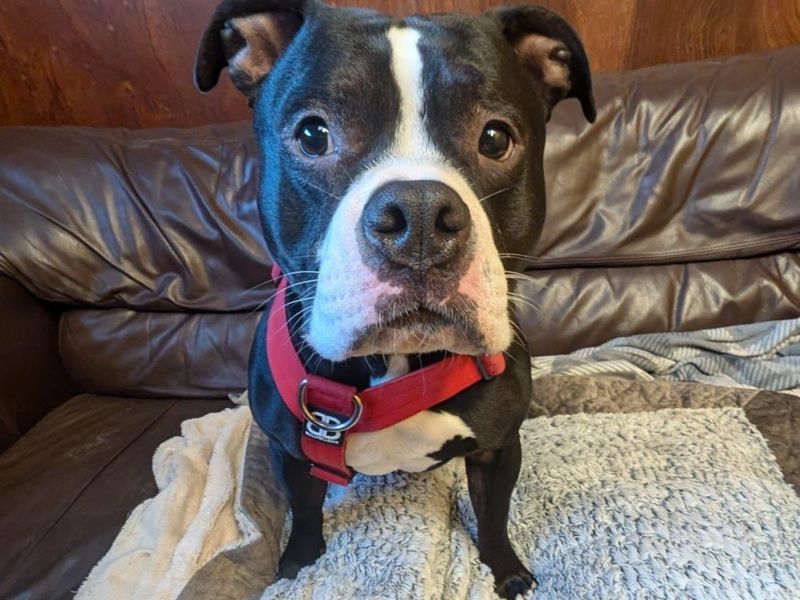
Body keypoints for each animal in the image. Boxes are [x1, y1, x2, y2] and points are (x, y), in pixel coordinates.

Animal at [194, 1, 592, 596]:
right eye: (313, 134)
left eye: (495, 138)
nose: (422, 216)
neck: (398, 365)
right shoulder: (291, 450)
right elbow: (304, 511)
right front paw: (298, 563)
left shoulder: (499, 448)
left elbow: (494, 515)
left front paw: (505, 571)